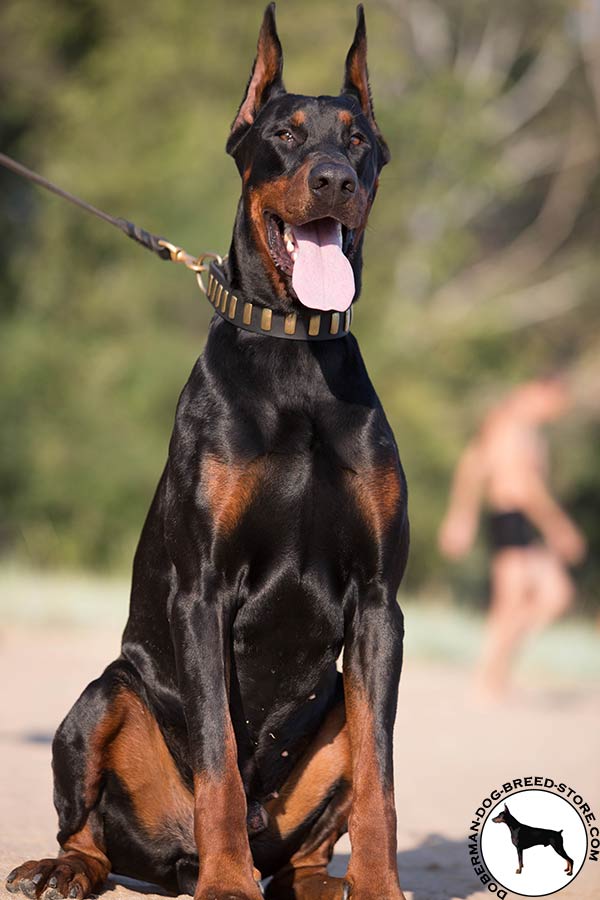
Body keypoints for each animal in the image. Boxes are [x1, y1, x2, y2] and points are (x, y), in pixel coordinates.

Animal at [5, 7, 408, 900]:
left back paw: (321, 881)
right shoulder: (202, 590)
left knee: (302, 847)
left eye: (359, 139)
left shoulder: (379, 604)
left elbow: (380, 774)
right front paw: (226, 886)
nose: (334, 179)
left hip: (331, 702)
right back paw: (72, 868)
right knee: (94, 827)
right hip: (104, 694)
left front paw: (382, 886)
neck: (296, 355)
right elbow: (219, 758)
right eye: (284, 134)